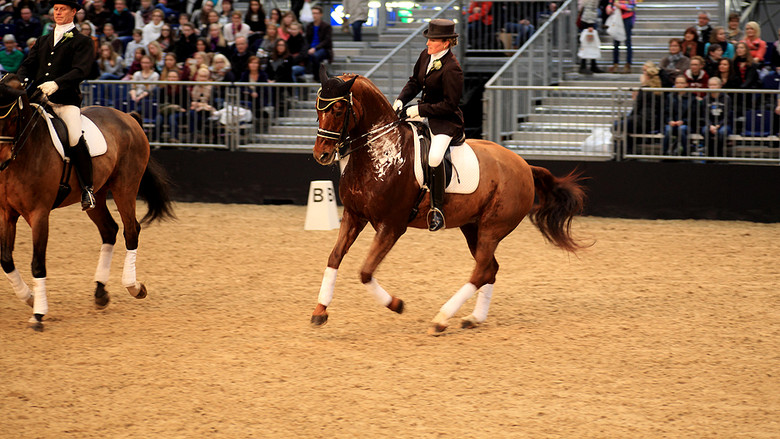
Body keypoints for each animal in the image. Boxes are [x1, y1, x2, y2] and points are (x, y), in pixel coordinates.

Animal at [0, 75, 174, 330]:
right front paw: (30, 297)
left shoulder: (39, 214)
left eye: (13, 117)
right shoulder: (6, 212)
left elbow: (37, 263)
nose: (0, 161)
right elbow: (6, 259)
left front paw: (39, 312)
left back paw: (134, 287)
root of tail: (128, 117)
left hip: (125, 187)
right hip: (97, 194)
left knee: (131, 230)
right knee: (109, 230)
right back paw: (100, 292)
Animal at [310, 71, 584, 334]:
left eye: (338, 109)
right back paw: (474, 318)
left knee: (481, 270)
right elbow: (334, 257)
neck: (383, 152)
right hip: (472, 227)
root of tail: (525, 166)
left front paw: (397, 304)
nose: (321, 154)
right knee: (490, 269)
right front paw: (320, 311)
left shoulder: (391, 226)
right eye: (316, 107)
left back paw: (441, 319)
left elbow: (365, 272)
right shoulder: (354, 215)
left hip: (492, 228)